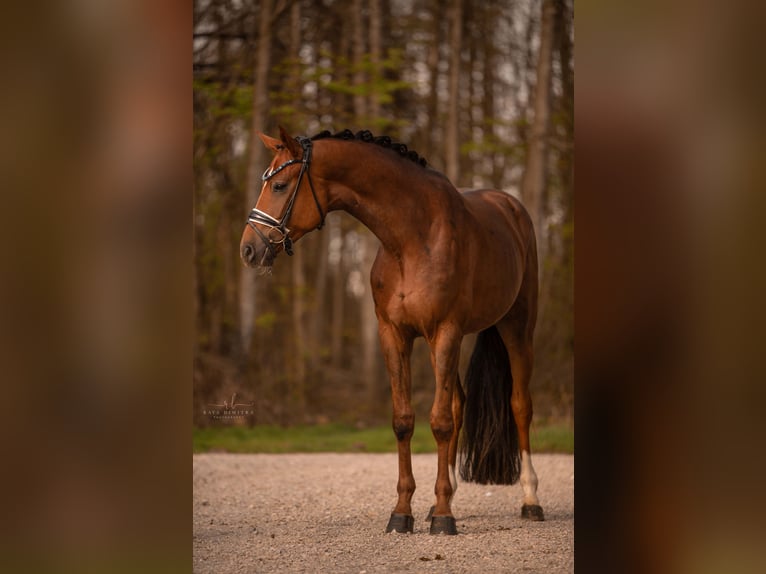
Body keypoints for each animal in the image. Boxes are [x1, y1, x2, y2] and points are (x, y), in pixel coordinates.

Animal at [242, 128, 544, 536]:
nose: (248, 249)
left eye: (279, 185)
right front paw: (404, 512)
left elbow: (440, 422)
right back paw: (443, 499)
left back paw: (530, 500)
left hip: (516, 328)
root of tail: (511, 207)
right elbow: (405, 421)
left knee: (519, 406)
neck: (413, 239)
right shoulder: (394, 335)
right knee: (458, 403)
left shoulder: (445, 331)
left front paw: (444, 518)